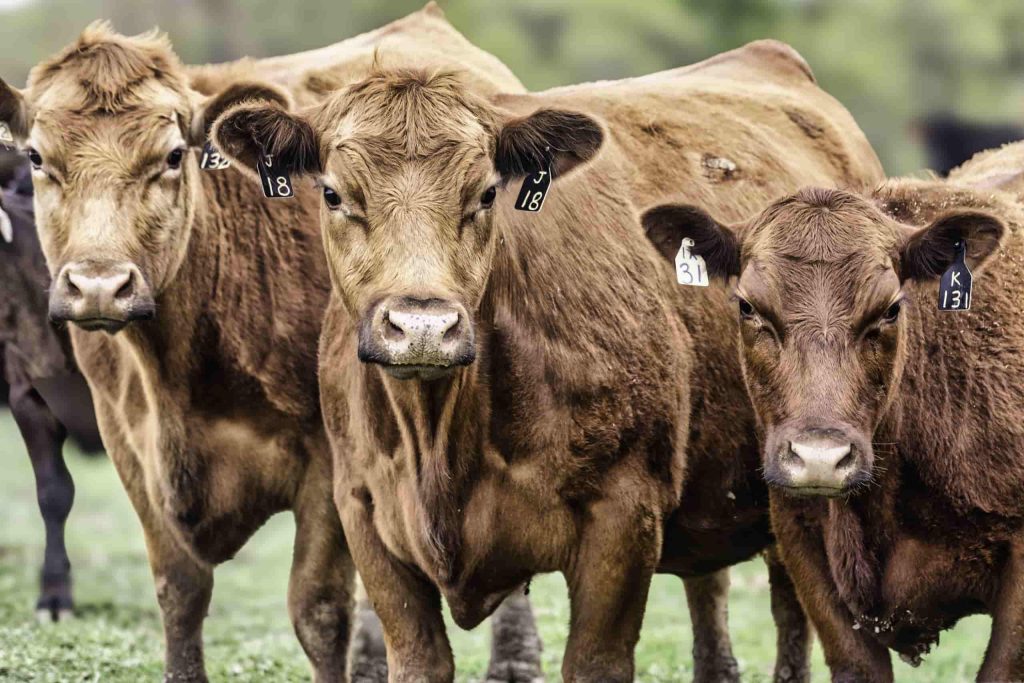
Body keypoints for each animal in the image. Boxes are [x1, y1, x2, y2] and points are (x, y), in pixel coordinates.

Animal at [0, 7, 534, 680]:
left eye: (172, 156)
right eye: (38, 158)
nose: (99, 285)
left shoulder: (327, 460)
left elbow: (319, 609)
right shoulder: (127, 445)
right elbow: (179, 592)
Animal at [212, 39, 883, 682]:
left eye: (486, 193)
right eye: (333, 194)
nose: (423, 327)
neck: (442, 439)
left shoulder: (623, 519)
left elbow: (594, 662)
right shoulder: (365, 516)